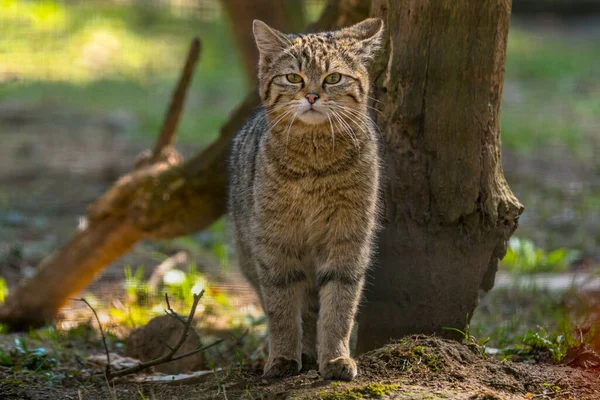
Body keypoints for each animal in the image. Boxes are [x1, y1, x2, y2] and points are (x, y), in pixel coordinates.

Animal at [227, 18, 382, 382]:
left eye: (333, 78)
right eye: (293, 77)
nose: (312, 95)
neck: (314, 165)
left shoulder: (347, 240)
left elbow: (339, 307)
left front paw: (336, 357)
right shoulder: (275, 243)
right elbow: (281, 309)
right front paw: (283, 357)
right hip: (249, 255)